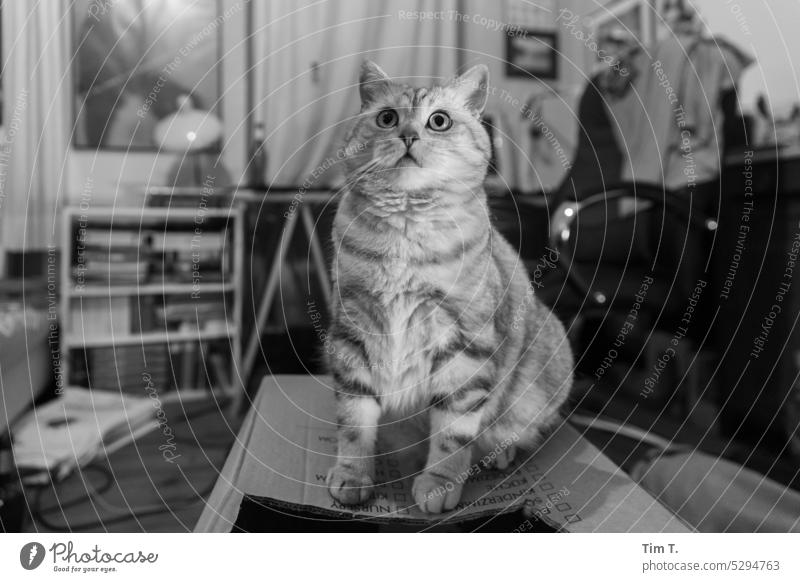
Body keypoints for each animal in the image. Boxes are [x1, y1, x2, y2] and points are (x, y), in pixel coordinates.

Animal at [326, 60, 576, 516]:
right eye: (387, 118)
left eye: (438, 121)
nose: (409, 135)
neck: (405, 233)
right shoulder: (352, 332)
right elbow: (354, 421)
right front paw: (353, 476)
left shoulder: (463, 343)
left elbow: (453, 431)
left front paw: (439, 484)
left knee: (513, 432)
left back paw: (499, 454)